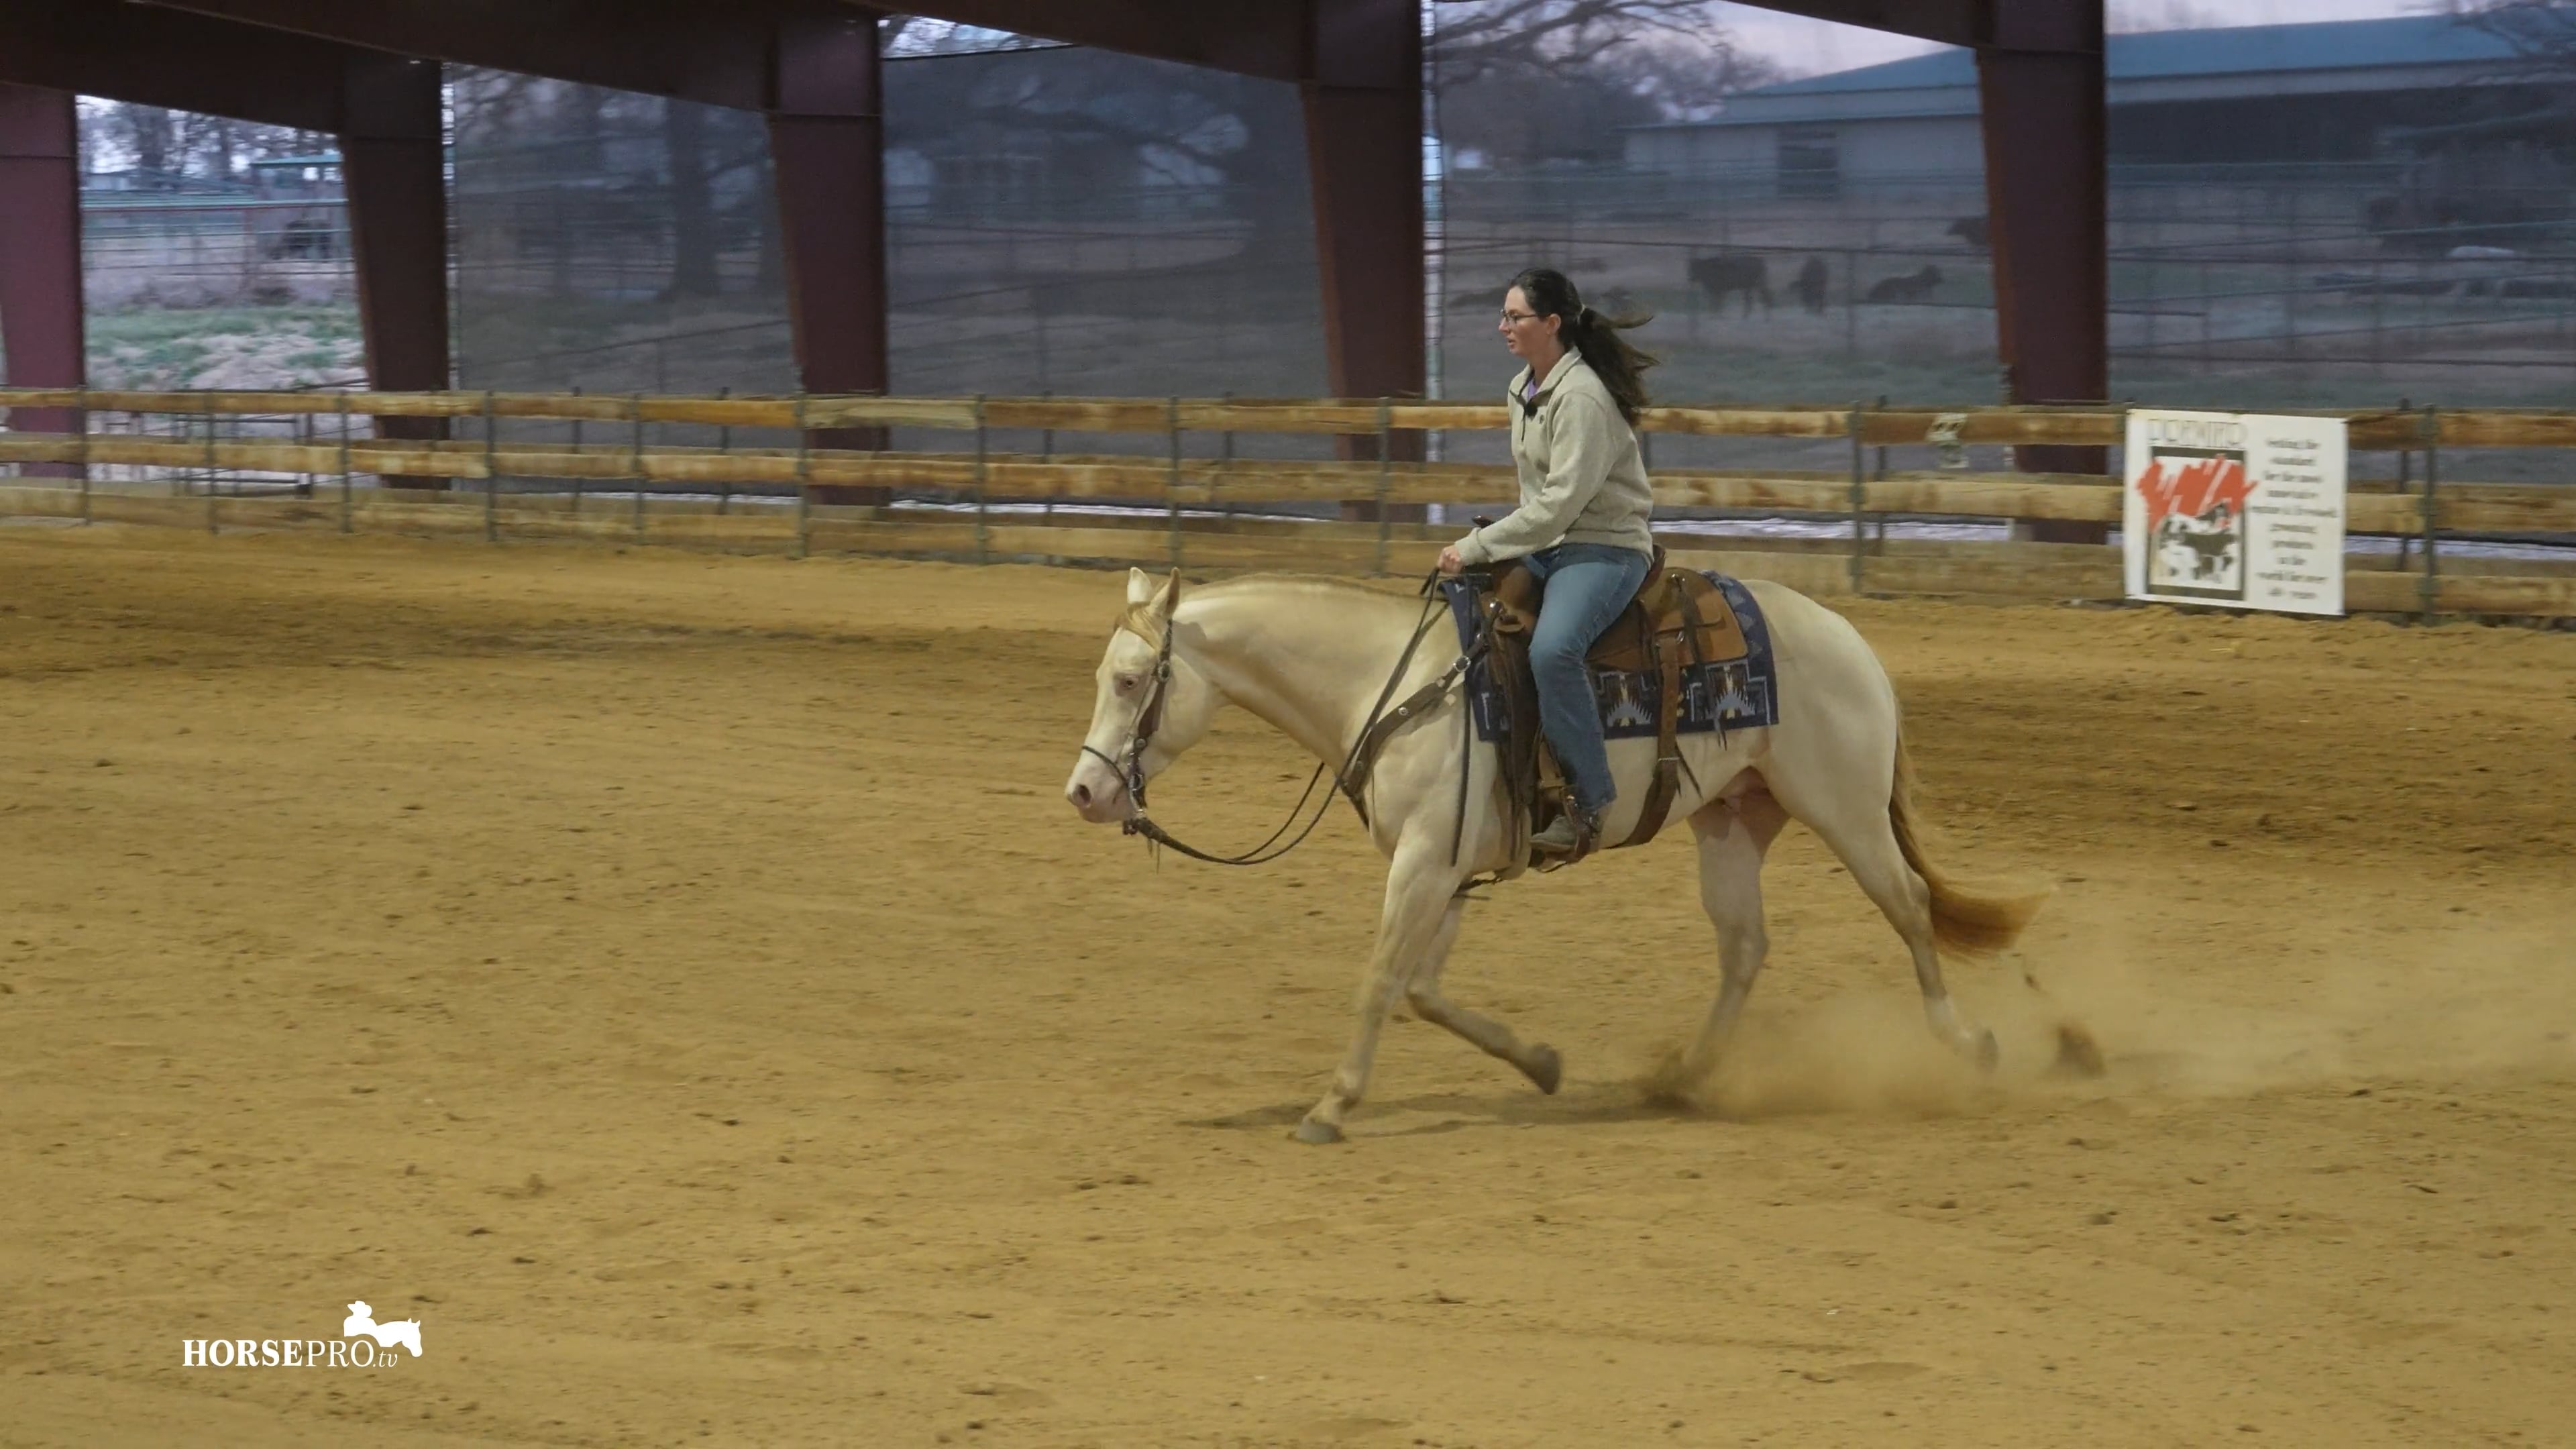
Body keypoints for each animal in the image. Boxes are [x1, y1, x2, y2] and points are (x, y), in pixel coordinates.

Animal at [1064, 568, 2063, 1145]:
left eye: (1131, 681)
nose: (1086, 794)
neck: (1388, 684)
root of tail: (1850, 640)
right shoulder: (1448, 871)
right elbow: (1422, 990)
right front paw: (1540, 1063)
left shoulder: (1422, 864)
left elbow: (1381, 982)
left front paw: (1331, 1107)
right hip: (1733, 820)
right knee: (1745, 947)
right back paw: (1684, 1078)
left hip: (1846, 810)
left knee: (1909, 910)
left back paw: (1970, 1046)